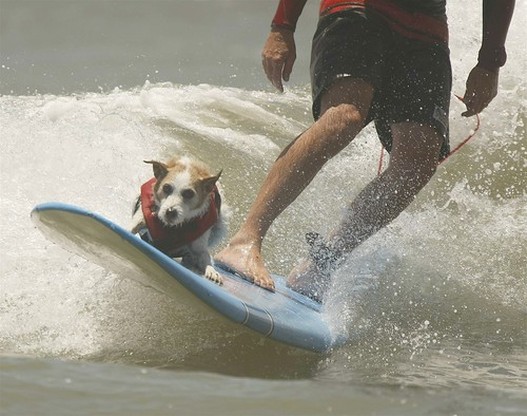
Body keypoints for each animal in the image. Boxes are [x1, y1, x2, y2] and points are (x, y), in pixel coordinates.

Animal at [131, 157, 227, 286]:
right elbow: (130, 227)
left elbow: (205, 257)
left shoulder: (200, 246)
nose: (170, 211)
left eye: (189, 193)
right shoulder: (141, 218)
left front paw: (212, 271)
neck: (171, 227)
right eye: (166, 188)